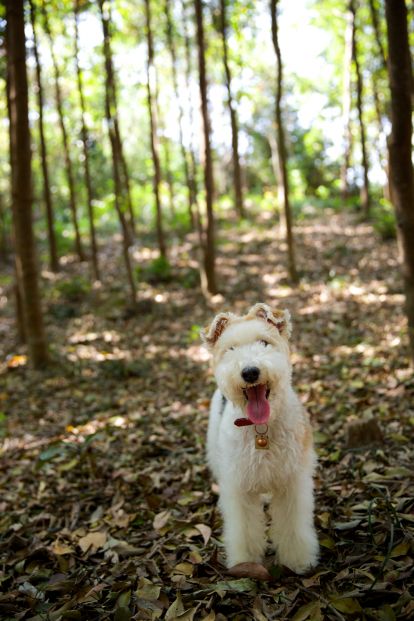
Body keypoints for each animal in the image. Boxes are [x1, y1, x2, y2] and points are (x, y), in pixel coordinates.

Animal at [204, 302, 320, 572]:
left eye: (264, 342)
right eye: (230, 349)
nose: (250, 372)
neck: (261, 429)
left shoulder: (291, 481)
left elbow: (292, 525)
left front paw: (298, 560)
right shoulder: (239, 486)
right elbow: (245, 529)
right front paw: (246, 562)